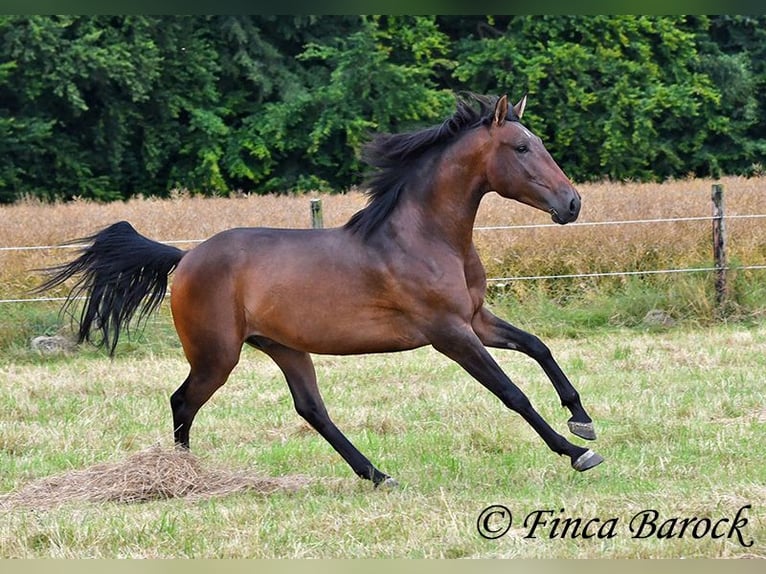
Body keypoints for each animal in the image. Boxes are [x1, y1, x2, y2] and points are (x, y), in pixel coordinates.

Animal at [39, 93, 608, 486]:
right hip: (217, 355)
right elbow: (512, 393)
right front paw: (576, 452)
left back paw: (378, 475)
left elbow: (539, 347)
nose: (573, 203)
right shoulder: (450, 334)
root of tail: (186, 257)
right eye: (521, 147)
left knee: (312, 410)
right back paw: (184, 477)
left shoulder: (477, 320)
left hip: (285, 348)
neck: (425, 237)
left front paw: (583, 422)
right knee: (183, 401)